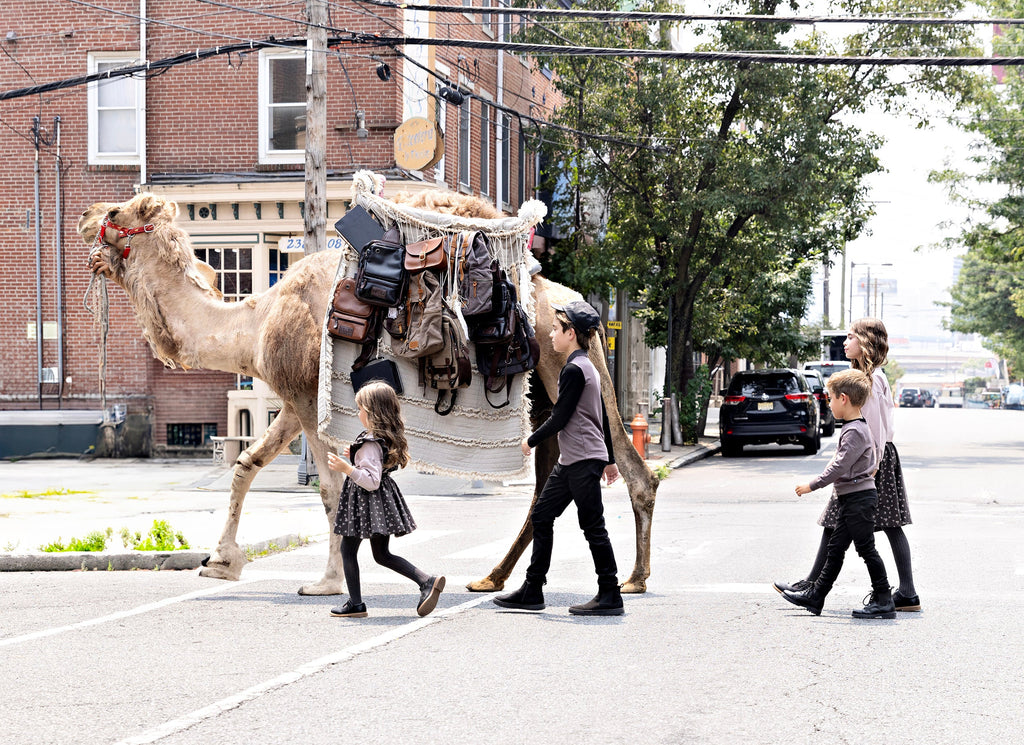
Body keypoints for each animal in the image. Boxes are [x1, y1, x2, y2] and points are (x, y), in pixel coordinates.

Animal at [77, 186, 655, 593]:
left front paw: (326, 582)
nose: (84, 217)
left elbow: (330, 490)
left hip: (563, 369)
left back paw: (628, 579)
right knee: (565, 477)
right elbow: (246, 464)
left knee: (617, 466)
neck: (254, 323)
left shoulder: (304, 394)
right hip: (553, 391)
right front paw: (220, 562)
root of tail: (571, 302)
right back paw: (498, 577)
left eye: (118, 212)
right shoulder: (294, 400)